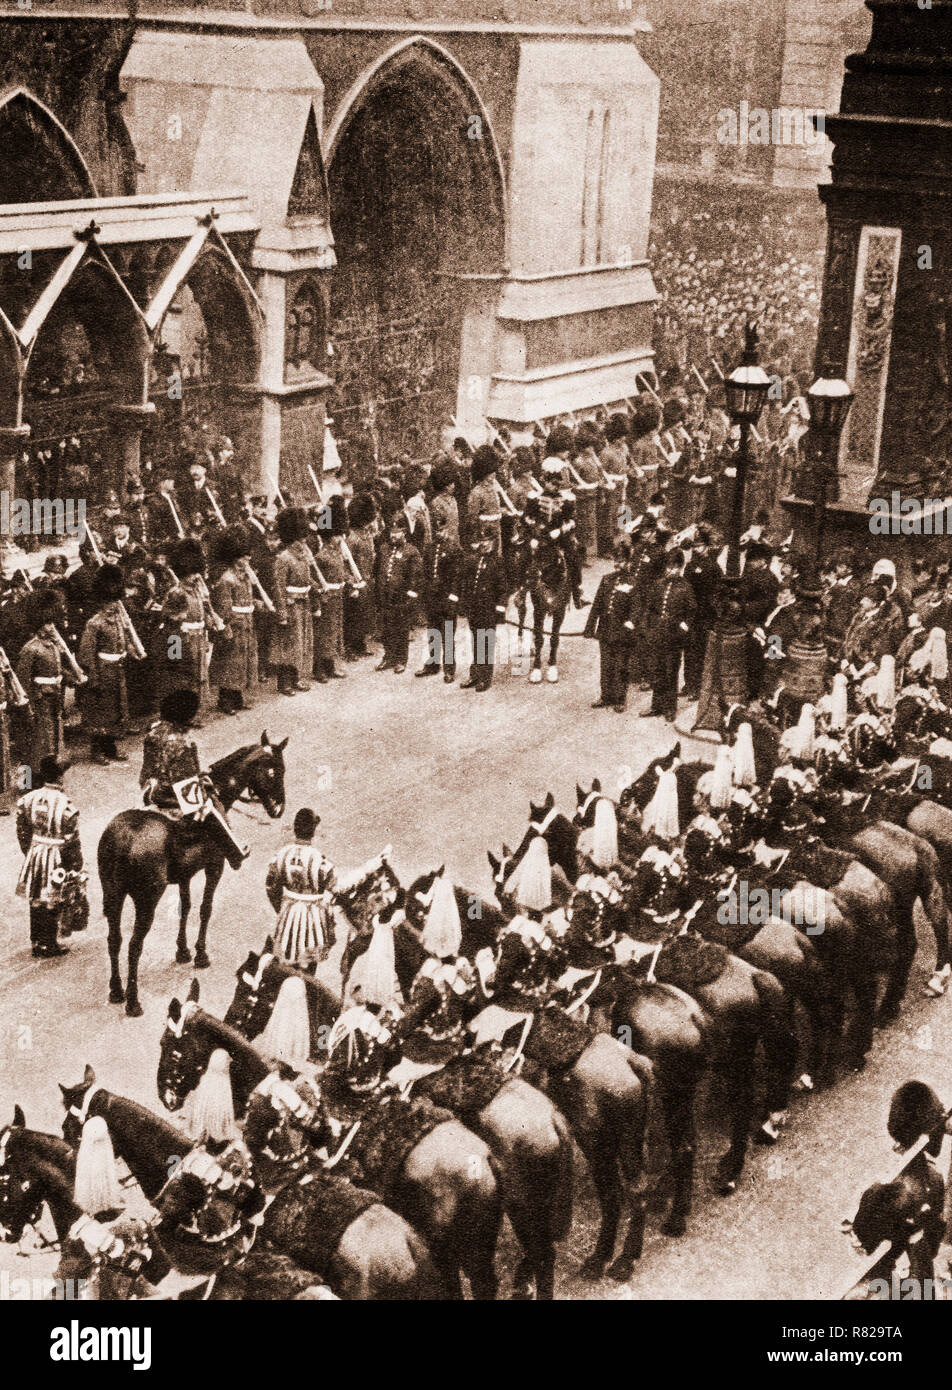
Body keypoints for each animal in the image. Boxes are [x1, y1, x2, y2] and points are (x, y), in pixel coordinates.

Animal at [99, 733, 289, 1017]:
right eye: (278, 770)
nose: (279, 808)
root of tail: (123, 839)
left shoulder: (185, 876)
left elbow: (186, 907)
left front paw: (182, 951)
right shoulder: (215, 867)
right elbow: (204, 909)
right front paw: (200, 955)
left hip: (113, 895)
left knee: (115, 940)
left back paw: (116, 990)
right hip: (146, 902)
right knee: (133, 946)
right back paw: (132, 1001)